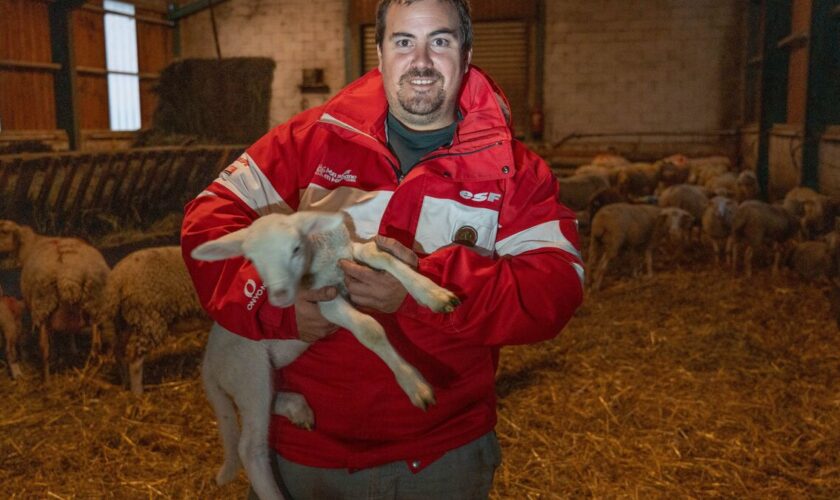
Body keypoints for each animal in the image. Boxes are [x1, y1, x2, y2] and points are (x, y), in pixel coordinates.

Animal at [0, 219, 108, 378]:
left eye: (4, 231)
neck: (31, 244)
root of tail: (69, 273)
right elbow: (70, 332)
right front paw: (72, 350)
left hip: (42, 304)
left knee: (44, 348)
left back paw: (47, 379)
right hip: (95, 301)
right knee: (95, 342)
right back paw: (93, 366)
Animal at [100, 245, 210, 394]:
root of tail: (116, 279)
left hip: (123, 321)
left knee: (118, 351)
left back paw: (125, 383)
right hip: (150, 319)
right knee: (135, 361)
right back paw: (138, 393)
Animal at [190, 211, 460, 500]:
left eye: (295, 248)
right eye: (251, 261)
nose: (280, 297)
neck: (323, 257)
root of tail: (208, 365)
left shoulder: (348, 254)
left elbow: (380, 255)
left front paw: (434, 294)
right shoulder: (323, 302)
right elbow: (369, 328)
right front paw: (414, 384)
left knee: (269, 401)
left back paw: (297, 409)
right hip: (248, 371)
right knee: (250, 447)